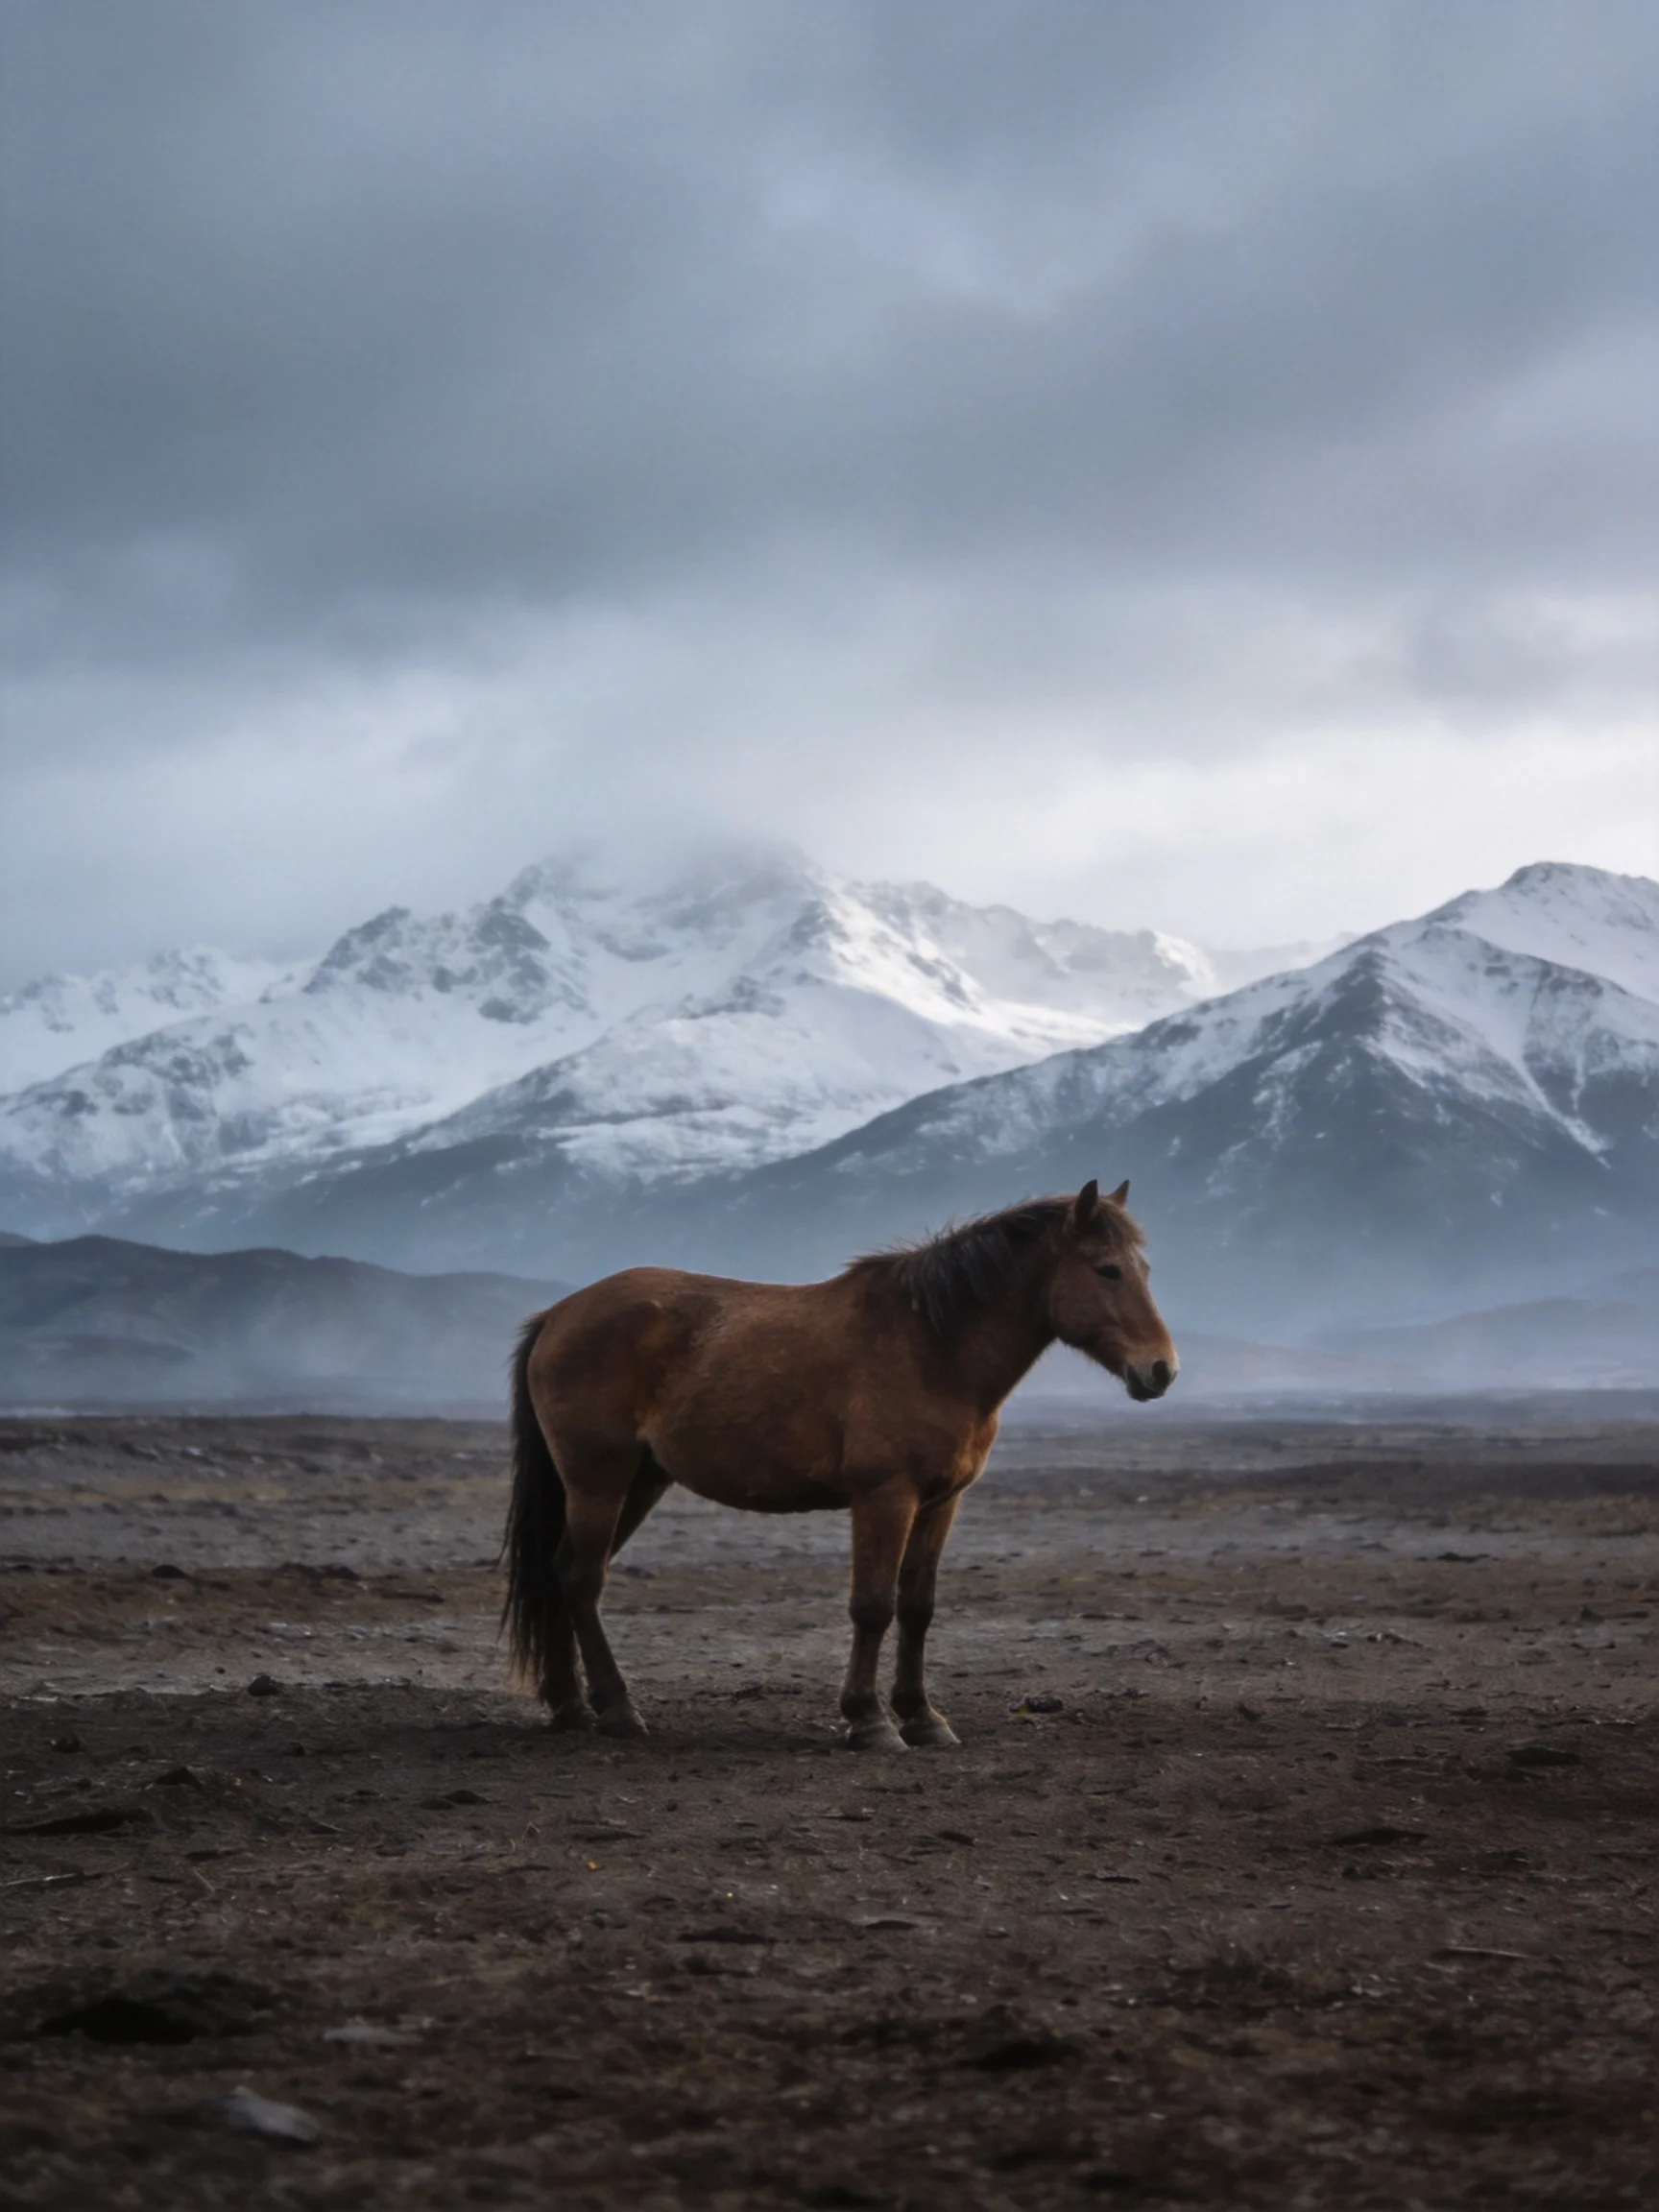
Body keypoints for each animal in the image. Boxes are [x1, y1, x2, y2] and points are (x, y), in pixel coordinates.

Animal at [502, 1179, 1177, 1751]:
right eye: (1107, 1270)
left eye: (1145, 1270)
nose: (1162, 1370)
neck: (934, 1347)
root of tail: (558, 1316)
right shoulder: (885, 1497)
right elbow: (873, 1605)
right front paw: (870, 1722)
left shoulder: (941, 1502)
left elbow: (917, 1607)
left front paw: (922, 1718)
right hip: (599, 1478)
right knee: (583, 1578)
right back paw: (616, 1709)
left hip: (639, 1481)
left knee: (563, 1573)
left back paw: (570, 1706)